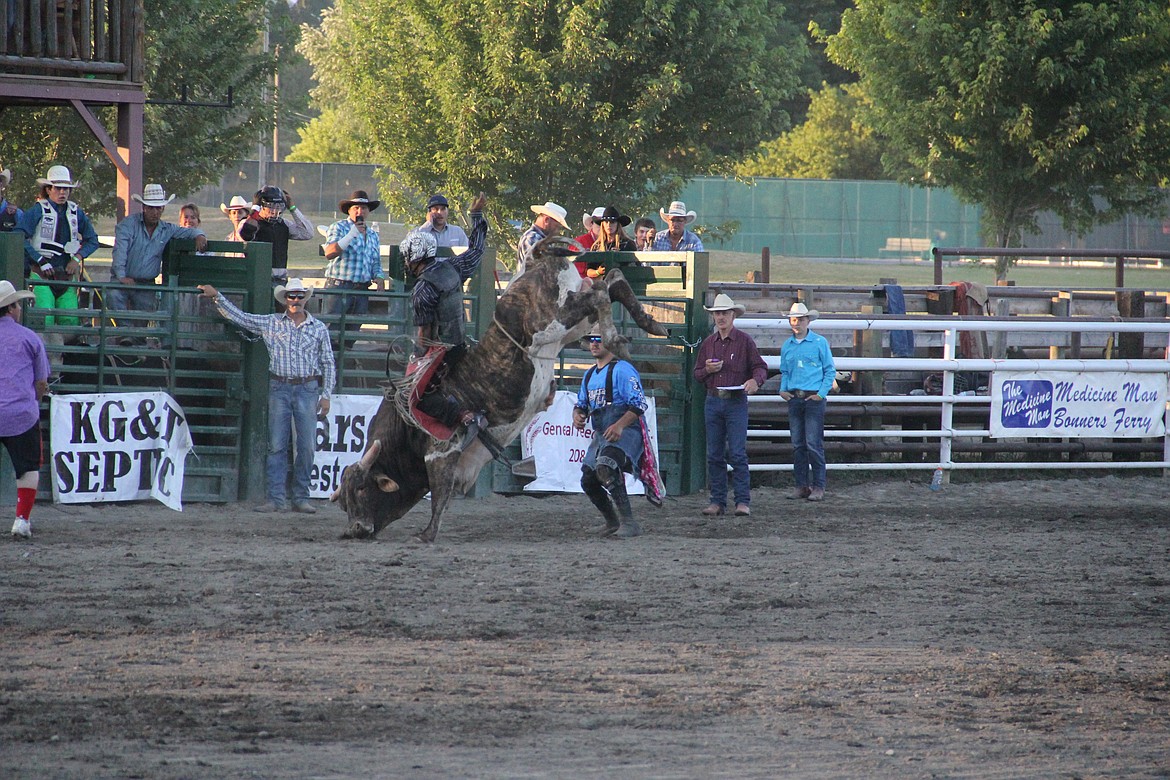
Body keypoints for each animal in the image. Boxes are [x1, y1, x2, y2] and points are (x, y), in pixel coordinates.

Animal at [334, 238, 673, 542]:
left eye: (362, 489)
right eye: (344, 500)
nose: (354, 530)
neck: (405, 428)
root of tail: (534, 259)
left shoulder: (440, 450)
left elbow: (439, 494)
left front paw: (426, 535)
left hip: (555, 319)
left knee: (601, 293)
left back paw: (617, 337)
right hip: (570, 322)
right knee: (611, 281)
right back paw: (649, 323)